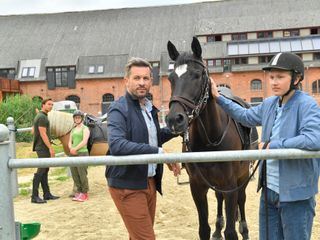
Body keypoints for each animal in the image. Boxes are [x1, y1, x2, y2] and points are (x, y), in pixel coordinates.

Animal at [166, 36, 256, 239]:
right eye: (171, 78)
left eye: (198, 75)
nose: (174, 119)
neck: (210, 141)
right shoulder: (197, 186)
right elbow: (203, 229)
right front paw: (214, 229)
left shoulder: (230, 185)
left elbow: (231, 231)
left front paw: (234, 229)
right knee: (219, 198)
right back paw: (218, 227)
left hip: (242, 176)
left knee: (242, 199)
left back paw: (244, 229)